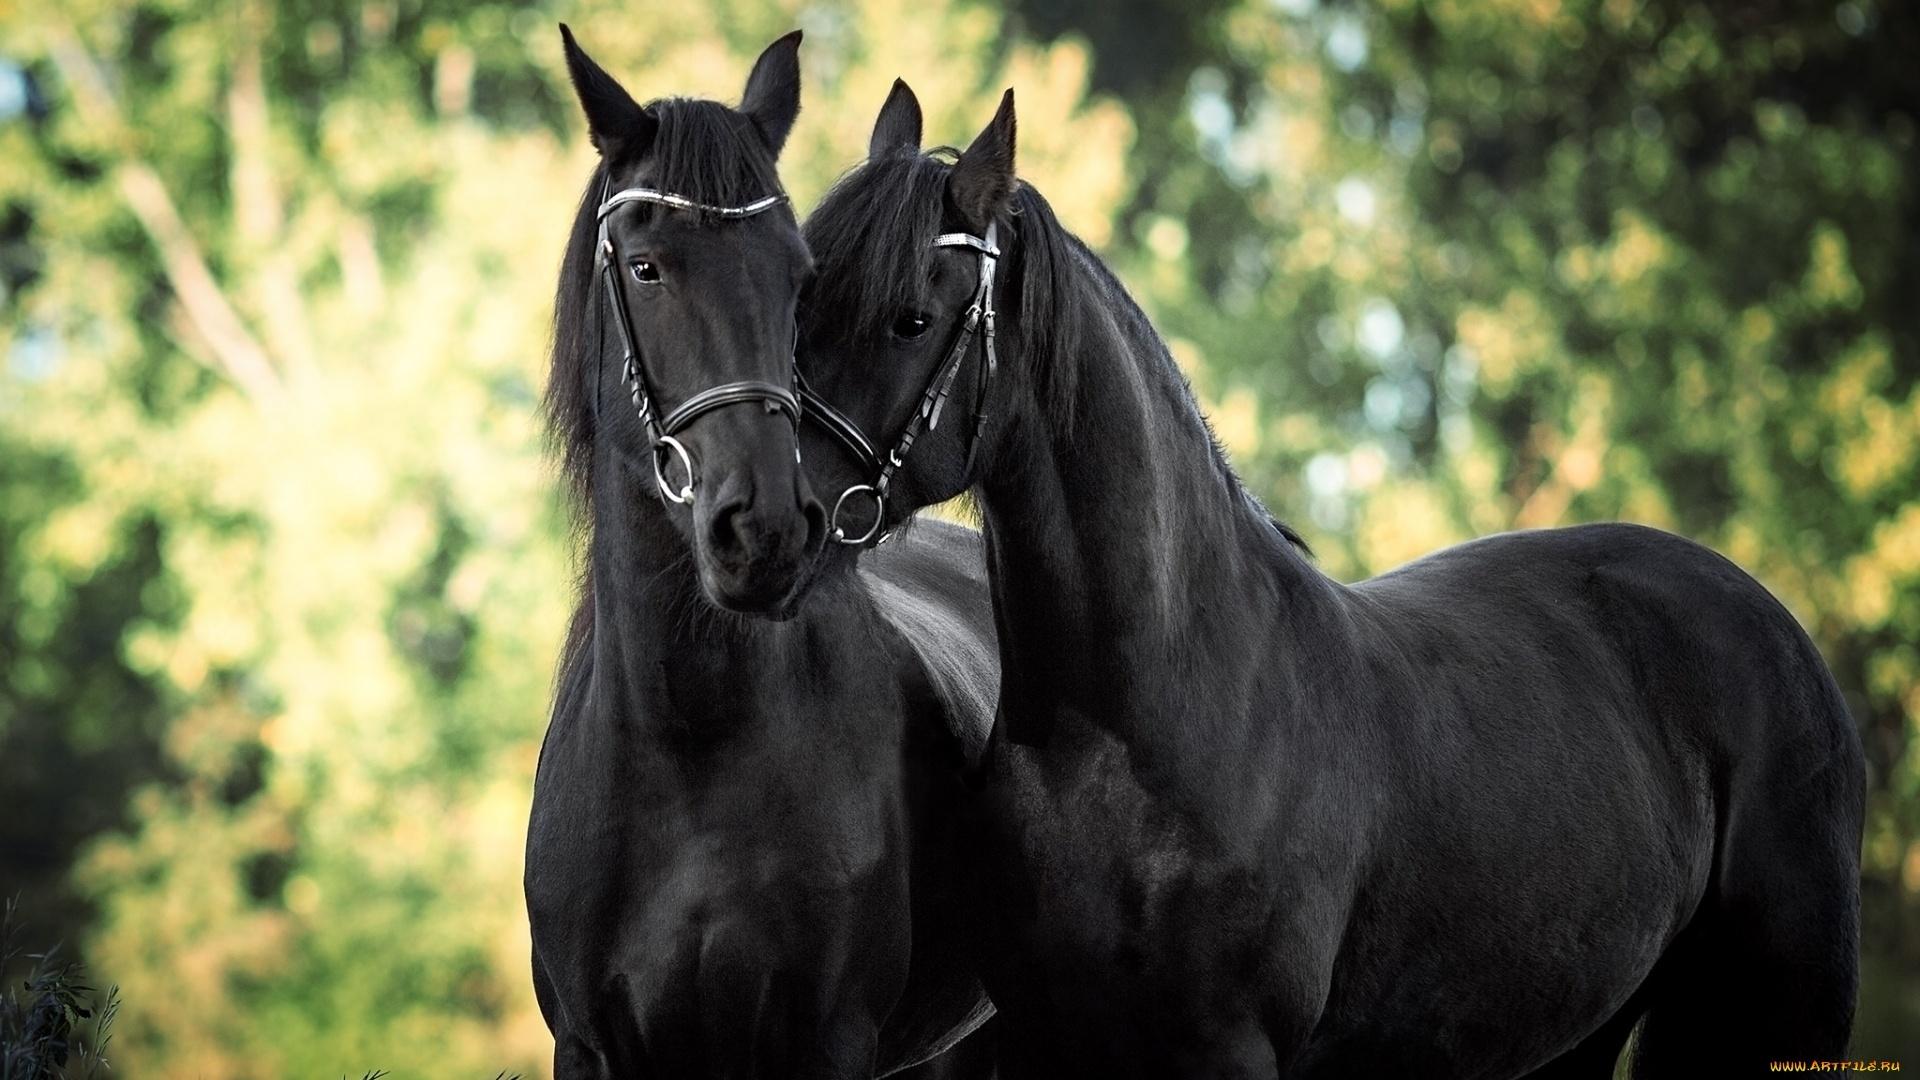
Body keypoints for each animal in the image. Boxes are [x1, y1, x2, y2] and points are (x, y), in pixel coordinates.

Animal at [524, 33, 1000, 1077]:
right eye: (647, 266)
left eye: (797, 277)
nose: (766, 532)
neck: (689, 746)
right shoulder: (589, 1046)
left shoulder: (830, 1039)